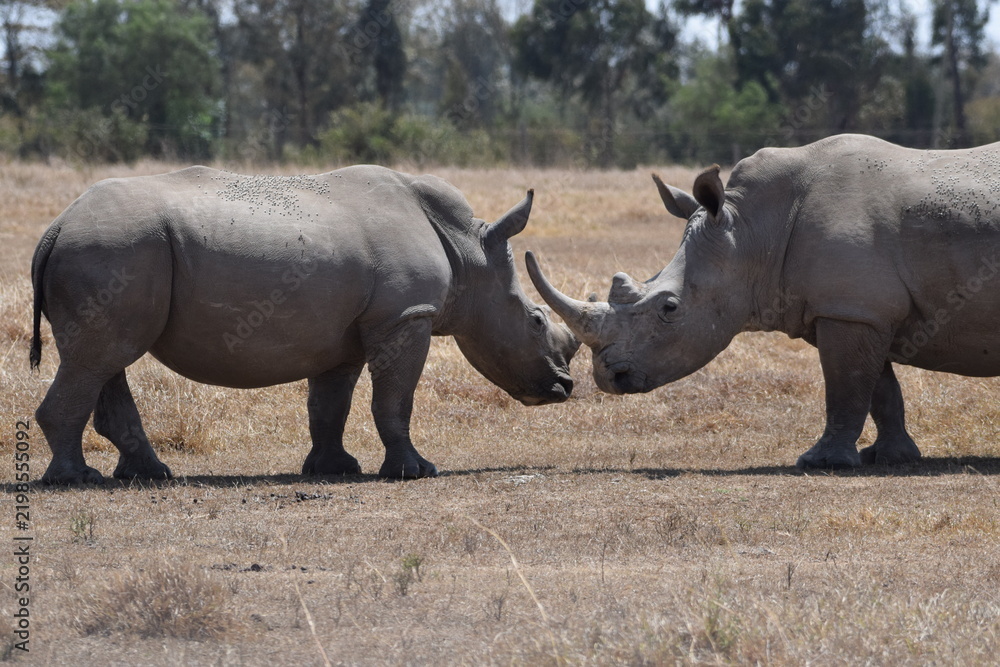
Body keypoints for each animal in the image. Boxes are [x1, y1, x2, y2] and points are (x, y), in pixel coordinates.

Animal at [30, 165, 577, 484]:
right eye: (535, 320)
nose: (565, 386)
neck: (468, 249)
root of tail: (54, 227)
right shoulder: (405, 316)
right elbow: (395, 400)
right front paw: (415, 471)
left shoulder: (346, 333)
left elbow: (330, 405)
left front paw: (334, 470)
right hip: (111, 249)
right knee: (98, 359)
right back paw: (77, 480)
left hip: (115, 253)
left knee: (105, 360)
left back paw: (149, 475)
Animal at [528, 134, 1000, 469]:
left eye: (669, 309)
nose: (609, 377)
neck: (753, 230)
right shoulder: (857, 308)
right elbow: (879, 387)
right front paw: (889, 457)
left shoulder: (849, 310)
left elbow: (845, 385)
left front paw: (821, 463)